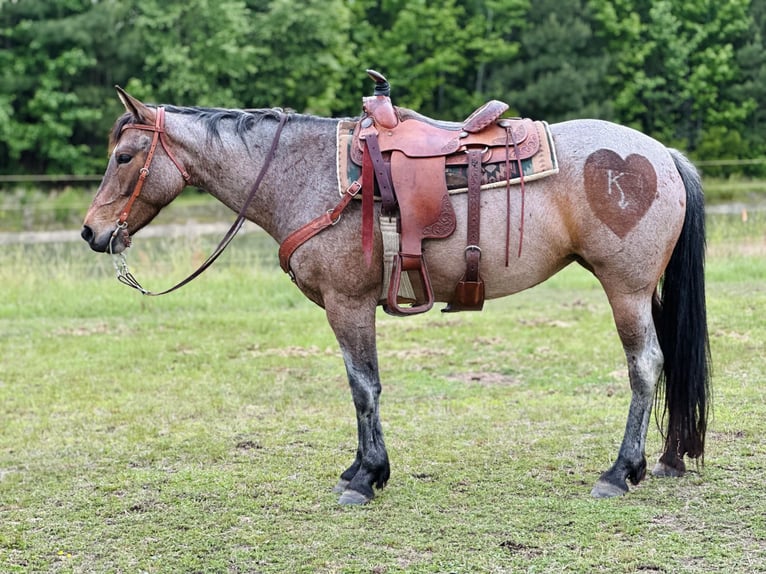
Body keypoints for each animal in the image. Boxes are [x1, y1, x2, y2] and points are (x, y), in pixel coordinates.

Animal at [81, 85, 710, 504]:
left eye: (124, 157)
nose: (91, 231)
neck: (304, 175)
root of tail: (662, 155)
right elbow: (360, 385)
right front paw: (361, 469)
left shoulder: (349, 304)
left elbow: (365, 387)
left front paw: (367, 477)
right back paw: (661, 460)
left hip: (625, 289)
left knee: (644, 365)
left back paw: (620, 470)